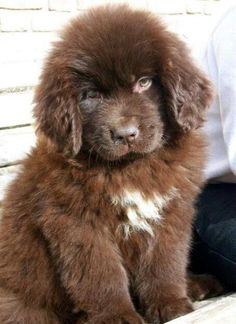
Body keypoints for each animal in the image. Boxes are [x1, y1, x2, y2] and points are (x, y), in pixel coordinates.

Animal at [0, 5, 214, 324]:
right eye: (91, 95)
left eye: (144, 82)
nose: (125, 133)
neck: (129, 169)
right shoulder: (77, 222)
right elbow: (100, 274)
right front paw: (116, 316)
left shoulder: (171, 211)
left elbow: (165, 261)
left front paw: (171, 304)